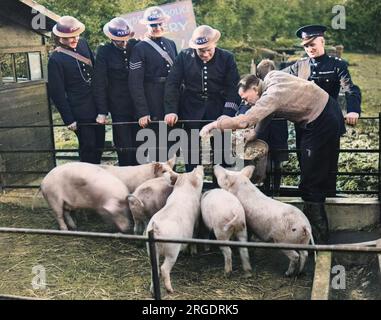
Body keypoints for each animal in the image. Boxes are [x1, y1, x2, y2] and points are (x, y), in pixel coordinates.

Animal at [146, 166, 205, 294]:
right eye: (196, 173)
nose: (199, 166)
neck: (185, 187)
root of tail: (156, 227)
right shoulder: (197, 220)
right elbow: (194, 234)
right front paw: (193, 252)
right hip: (172, 250)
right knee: (163, 268)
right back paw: (170, 290)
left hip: (150, 249)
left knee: (154, 268)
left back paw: (153, 290)